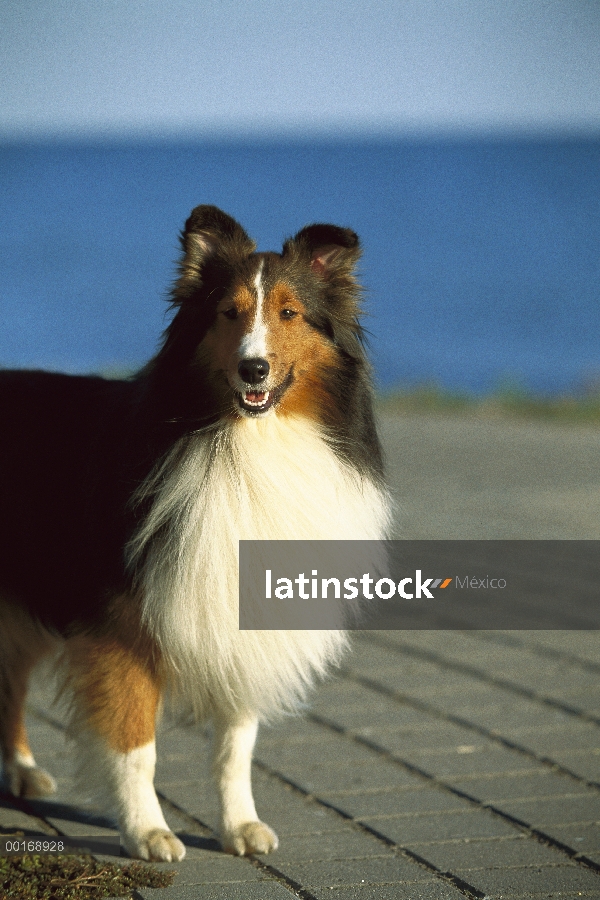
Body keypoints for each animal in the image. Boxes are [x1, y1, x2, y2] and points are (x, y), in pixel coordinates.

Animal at [0, 207, 390, 860]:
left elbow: (235, 746)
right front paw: (148, 832)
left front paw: (240, 826)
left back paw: (23, 772)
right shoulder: (122, 626)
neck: (250, 441)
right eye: (228, 312)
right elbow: (136, 747)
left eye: (290, 312)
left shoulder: (240, 616)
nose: (253, 368)